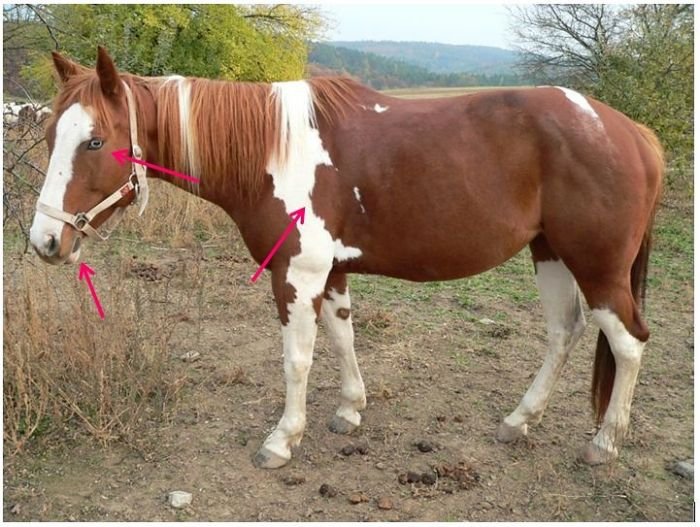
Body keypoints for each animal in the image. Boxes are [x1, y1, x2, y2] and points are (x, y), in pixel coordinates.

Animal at [29, 47, 664, 469]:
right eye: (51, 135)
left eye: (94, 141)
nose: (45, 242)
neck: (272, 153)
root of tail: (631, 132)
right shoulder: (329, 274)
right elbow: (342, 338)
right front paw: (350, 411)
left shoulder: (296, 276)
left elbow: (297, 360)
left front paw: (283, 439)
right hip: (550, 252)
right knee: (564, 331)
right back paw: (519, 421)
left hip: (598, 267)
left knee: (629, 343)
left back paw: (604, 444)